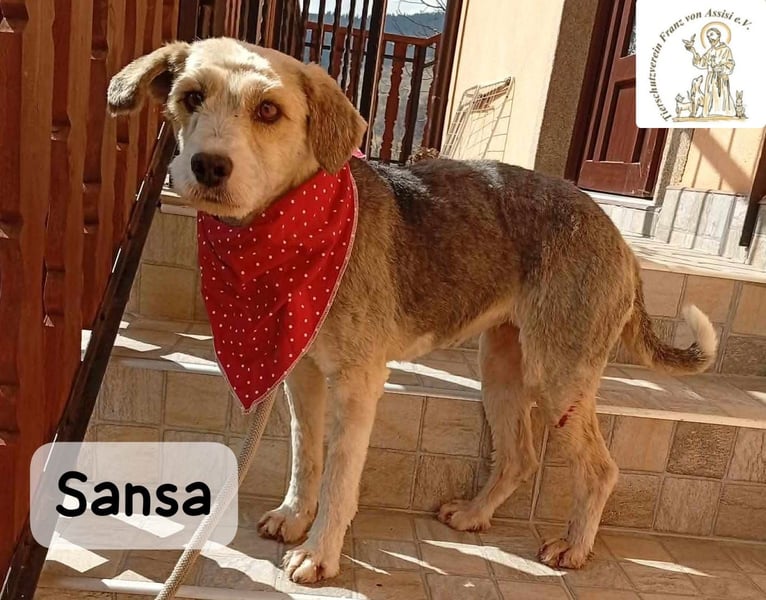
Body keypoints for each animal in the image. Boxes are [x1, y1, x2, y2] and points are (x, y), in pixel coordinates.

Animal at [108, 38, 717, 583]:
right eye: (190, 96)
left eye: (268, 110)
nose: (208, 166)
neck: (286, 233)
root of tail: (621, 243)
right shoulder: (302, 374)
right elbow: (307, 456)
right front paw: (295, 517)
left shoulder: (357, 383)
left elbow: (340, 477)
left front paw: (319, 552)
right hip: (502, 366)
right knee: (519, 456)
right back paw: (473, 514)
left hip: (558, 374)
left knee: (601, 468)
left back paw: (574, 546)